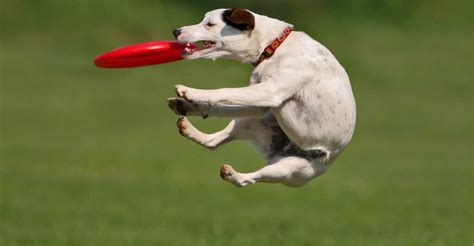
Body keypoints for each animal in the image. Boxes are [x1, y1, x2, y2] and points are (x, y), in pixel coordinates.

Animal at [167, 8, 356, 187]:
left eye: (210, 24)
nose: (176, 31)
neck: (274, 47)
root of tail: (282, 149)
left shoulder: (270, 91)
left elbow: (223, 91)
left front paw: (191, 92)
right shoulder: (260, 104)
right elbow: (219, 106)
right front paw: (189, 105)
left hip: (290, 169)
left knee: (248, 180)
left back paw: (234, 175)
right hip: (253, 121)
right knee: (213, 142)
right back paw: (188, 125)